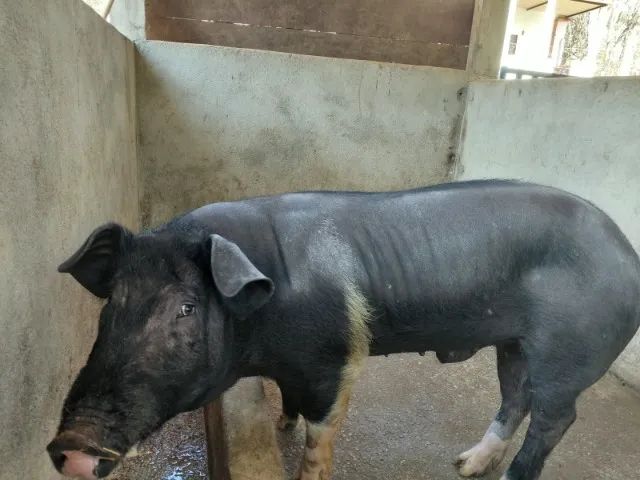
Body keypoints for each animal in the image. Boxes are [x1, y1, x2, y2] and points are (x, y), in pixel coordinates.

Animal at [47, 180, 640, 480]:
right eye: (112, 305)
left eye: (187, 308)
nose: (71, 445)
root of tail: (626, 253)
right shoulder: (293, 368)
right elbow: (289, 404)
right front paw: (280, 424)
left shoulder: (335, 360)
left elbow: (321, 435)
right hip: (514, 343)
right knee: (516, 398)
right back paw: (465, 466)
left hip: (568, 353)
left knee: (555, 418)